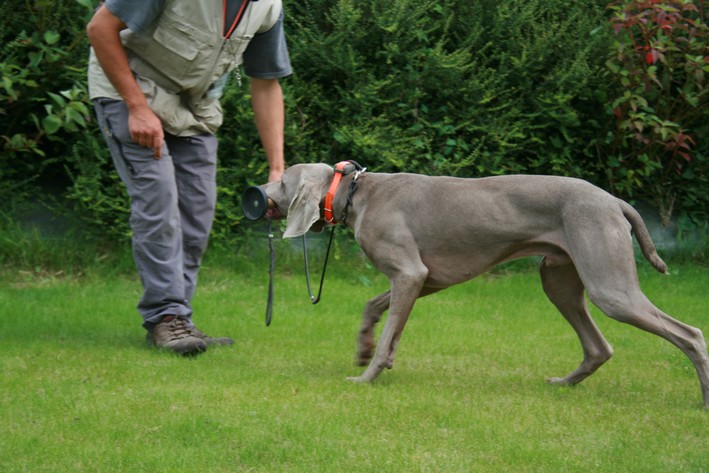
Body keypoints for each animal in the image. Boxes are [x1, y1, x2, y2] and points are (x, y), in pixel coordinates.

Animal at [260, 162, 708, 406]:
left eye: (281, 181)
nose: (257, 190)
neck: (357, 192)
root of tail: (613, 200)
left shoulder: (410, 272)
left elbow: (390, 328)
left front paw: (367, 376)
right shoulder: (426, 279)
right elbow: (376, 309)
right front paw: (366, 351)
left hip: (609, 285)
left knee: (690, 333)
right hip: (558, 278)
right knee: (599, 346)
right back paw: (563, 384)